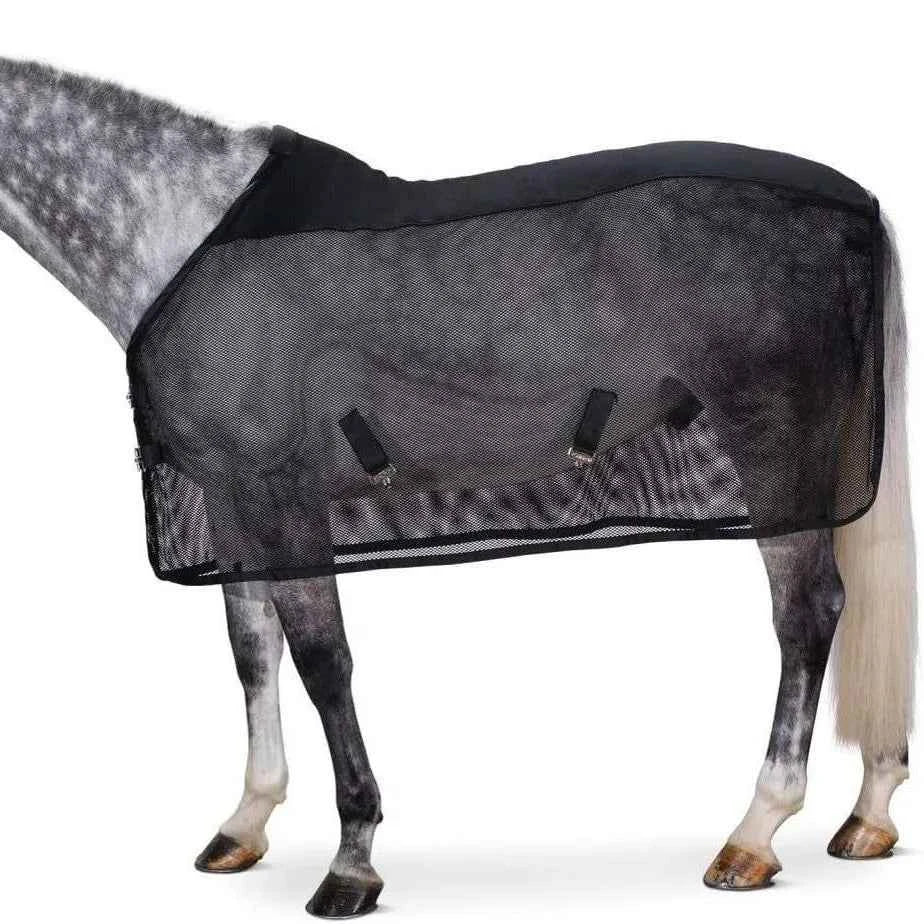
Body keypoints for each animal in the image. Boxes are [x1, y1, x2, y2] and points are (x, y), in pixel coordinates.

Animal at [0, 57, 915, 917]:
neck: (179, 228)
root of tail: (859, 206)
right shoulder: (232, 498)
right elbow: (252, 652)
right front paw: (245, 823)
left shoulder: (281, 491)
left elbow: (323, 660)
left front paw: (351, 862)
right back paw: (867, 814)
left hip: (775, 440)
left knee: (808, 611)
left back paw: (756, 832)